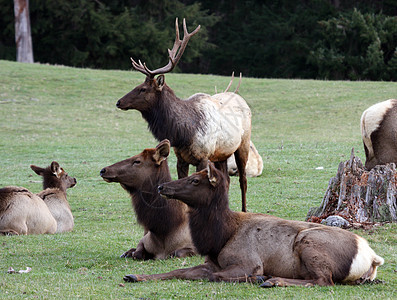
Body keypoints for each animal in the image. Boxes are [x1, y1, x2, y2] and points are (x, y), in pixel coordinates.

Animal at [115, 17, 251, 212]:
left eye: (143, 89)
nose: (119, 102)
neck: (183, 133)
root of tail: (242, 99)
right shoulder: (181, 158)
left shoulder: (203, 156)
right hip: (222, 154)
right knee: (226, 180)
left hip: (243, 145)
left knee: (243, 180)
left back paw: (244, 210)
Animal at [124, 163, 384, 288]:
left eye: (195, 180)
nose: (162, 187)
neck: (220, 238)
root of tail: (372, 257)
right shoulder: (211, 262)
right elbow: (177, 271)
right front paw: (134, 275)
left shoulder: (247, 261)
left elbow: (216, 277)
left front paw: (258, 278)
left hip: (309, 243)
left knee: (323, 280)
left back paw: (272, 280)